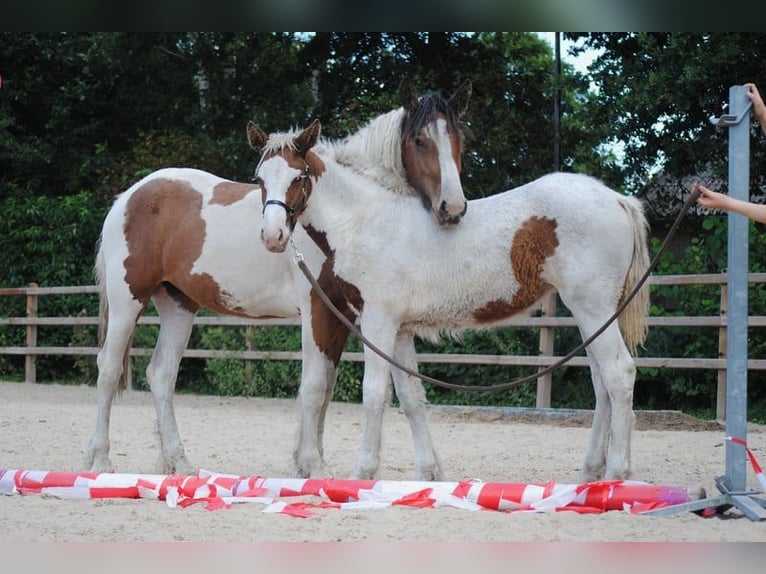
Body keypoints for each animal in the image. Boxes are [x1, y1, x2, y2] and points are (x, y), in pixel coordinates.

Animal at [84, 79, 473, 476]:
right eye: (420, 140)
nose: (453, 208)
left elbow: (326, 388)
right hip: (127, 301)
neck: (344, 217)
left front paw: (308, 464)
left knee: (162, 375)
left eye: (460, 138)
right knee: (108, 369)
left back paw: (181, 463)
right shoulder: (317, 308)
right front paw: (312, 465)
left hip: (178, 304)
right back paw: (99, 459)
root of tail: (128, 198)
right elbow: (314, 386)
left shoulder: (342, 316)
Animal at [249, 120, 651, 482]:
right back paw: (590, 472)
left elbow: (374, 393)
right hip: (591, 316)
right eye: (260, 179)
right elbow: (411, 396)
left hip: (592, 308)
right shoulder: (399, 329)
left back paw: (617, 472)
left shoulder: (378, 321)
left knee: (618, 373)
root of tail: (618, 199)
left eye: (298, 176)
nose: (272, 236)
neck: (365, 221)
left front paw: (363, 471)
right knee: (601, 383)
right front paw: (429, 471)